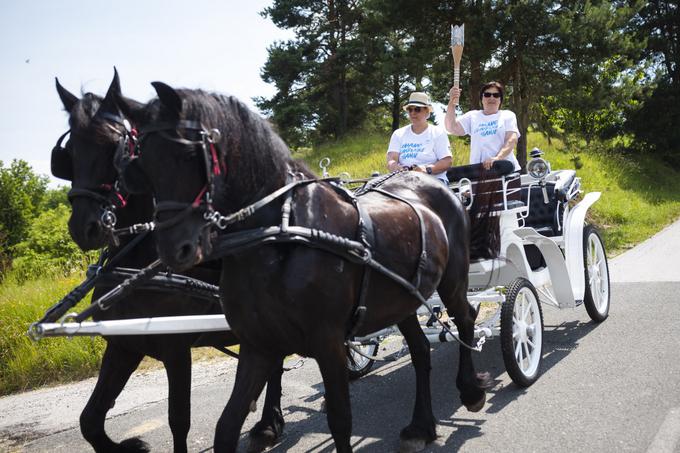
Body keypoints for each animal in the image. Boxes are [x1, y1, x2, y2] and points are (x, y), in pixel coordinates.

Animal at [53, 71, 284, 452]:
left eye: (114, 147)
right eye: (68, 153)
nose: (84, 226)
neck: (135, 267)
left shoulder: (175, 348)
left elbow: (178, 419)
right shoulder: (123, 345)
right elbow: (90, 420)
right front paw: (129, 446)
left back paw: (268, 422)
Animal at [117, 82, 488, 452]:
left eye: (188, 154)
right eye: (143, 165)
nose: (172, 248)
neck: (279, 236)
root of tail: (437, 187)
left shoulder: (328, 341)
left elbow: (340, 420)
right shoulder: (258, 345)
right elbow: (226, 426)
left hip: (452, 282)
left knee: (466, 317)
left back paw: (471, 390)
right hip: (402, 301)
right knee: (421, 351)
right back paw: (421, 426)